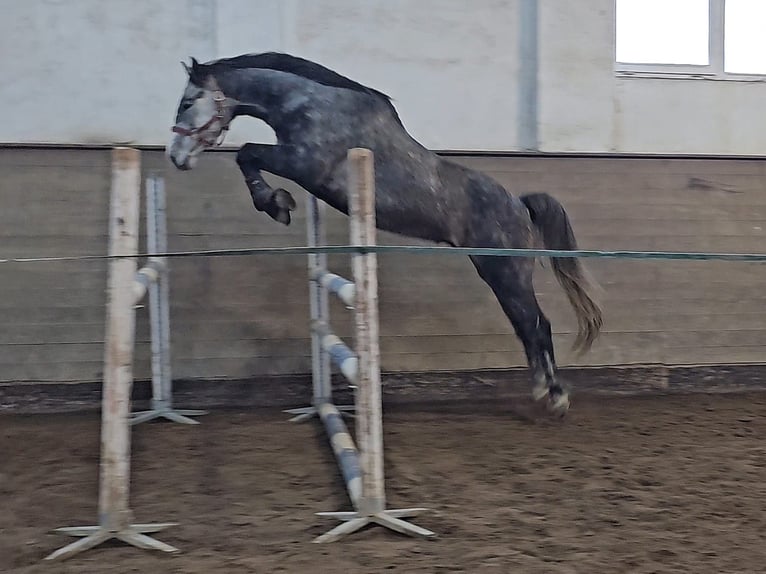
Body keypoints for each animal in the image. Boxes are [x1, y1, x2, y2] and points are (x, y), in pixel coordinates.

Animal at [170, 53, 608, 414]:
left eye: (188, 102)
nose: (176, 158)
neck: (310, 105)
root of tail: (519, 205)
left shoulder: (301, 162)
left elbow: (247, 153)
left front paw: (275, 203)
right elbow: (248, 155)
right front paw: (278, 203)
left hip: (506, 273)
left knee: (537, 325)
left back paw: (555, 395)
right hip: (496, 272)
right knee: (527, 326)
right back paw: (541, 389)